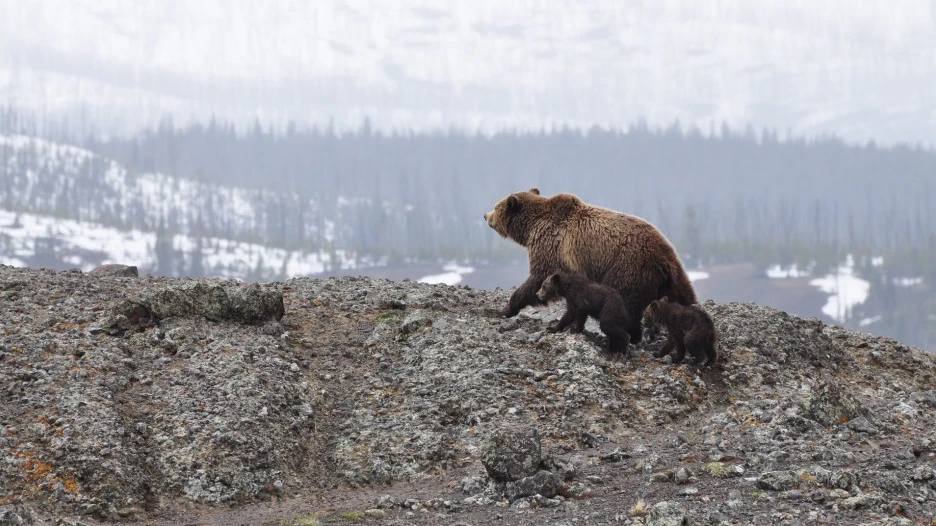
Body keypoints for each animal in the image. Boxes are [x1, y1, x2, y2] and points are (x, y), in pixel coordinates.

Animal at [482, 190, 696, 346]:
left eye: (496, 206)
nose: (485, 215)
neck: (531, 227)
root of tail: (663, 256)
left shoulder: (550, 246)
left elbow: (538, 278)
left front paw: (507, 308)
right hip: (672, 277)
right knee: (685, 298)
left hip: (627, 266)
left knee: (624, 302)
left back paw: (626, 335)